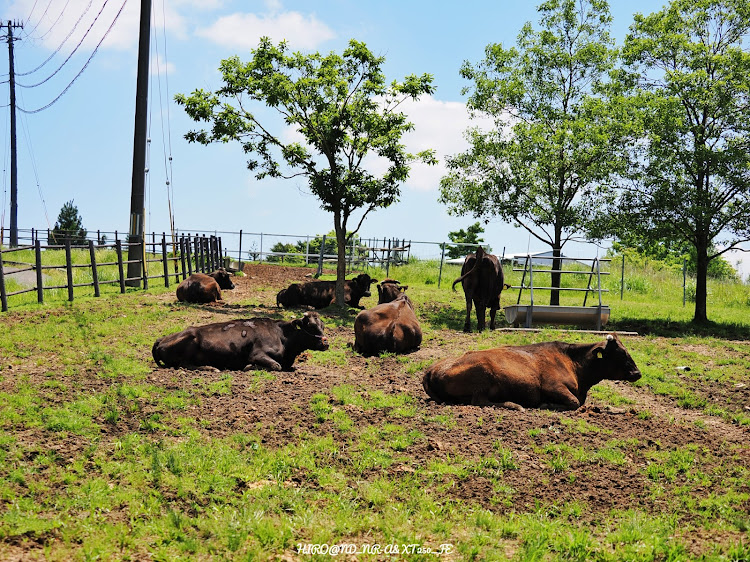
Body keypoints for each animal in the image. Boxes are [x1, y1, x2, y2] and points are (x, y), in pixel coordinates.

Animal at [153, 308, 328, 370]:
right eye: (311, 326)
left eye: (323, 326)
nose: (326, 342)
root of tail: (161, 339)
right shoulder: (257, 354)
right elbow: (275, 366)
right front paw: (249, 367)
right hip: (190, 343)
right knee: (185, 365)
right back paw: (210, 368)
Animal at [426, 332, 644, 406]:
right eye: (620, 353)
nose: (637, 373)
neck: (572, 360)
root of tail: (432, 369)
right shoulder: (553, 387)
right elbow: (574, 403)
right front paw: (546, 404)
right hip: (484, 373)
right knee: (479, 401)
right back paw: (515, 405)